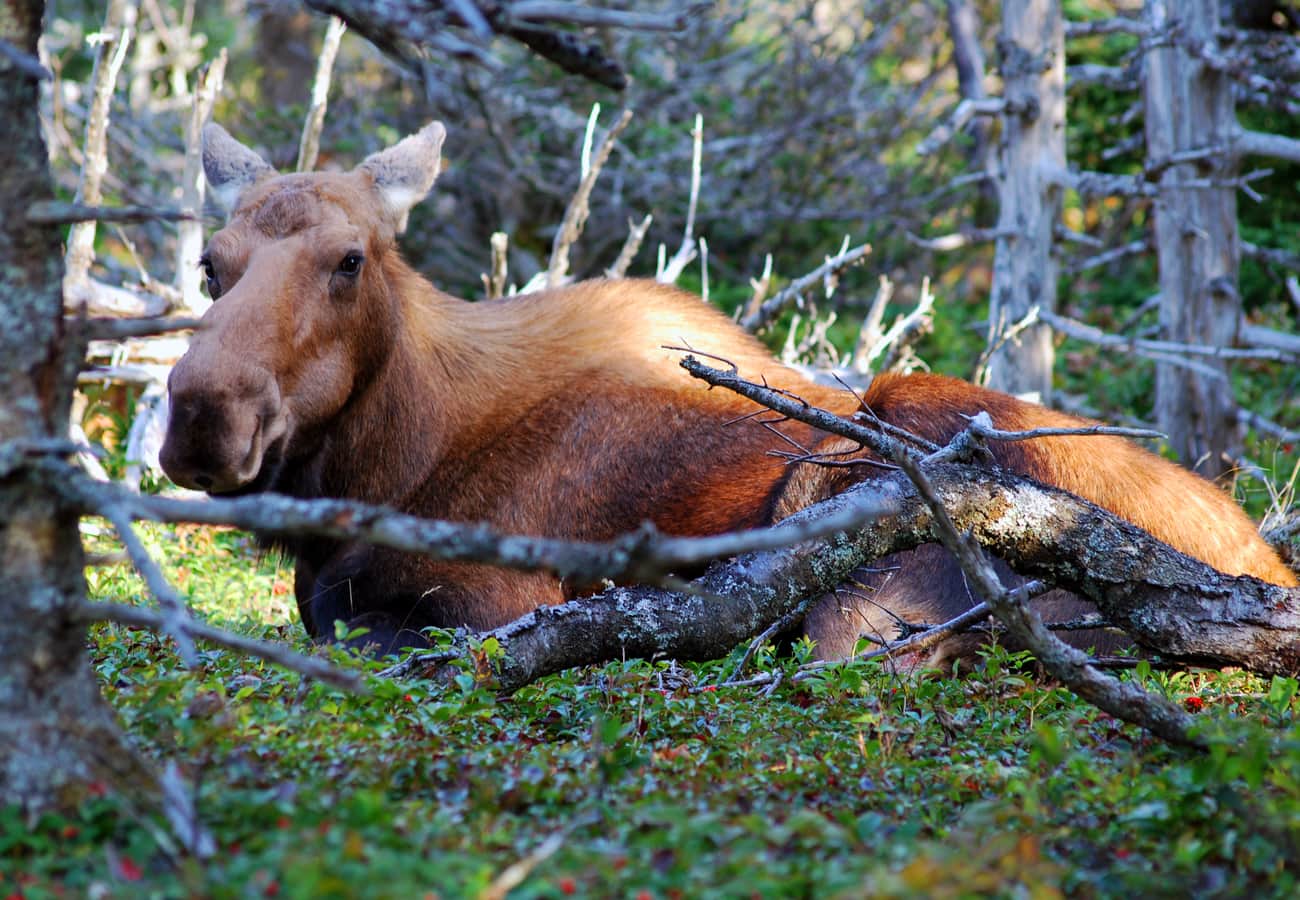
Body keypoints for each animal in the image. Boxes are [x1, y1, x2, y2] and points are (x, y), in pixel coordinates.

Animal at [159, 120, 1298, 664]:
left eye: (350, 260)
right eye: (210, 263)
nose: (206, 418)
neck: (383, 466)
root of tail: (1265, 578)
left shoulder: (494, 600)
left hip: (885, 484)